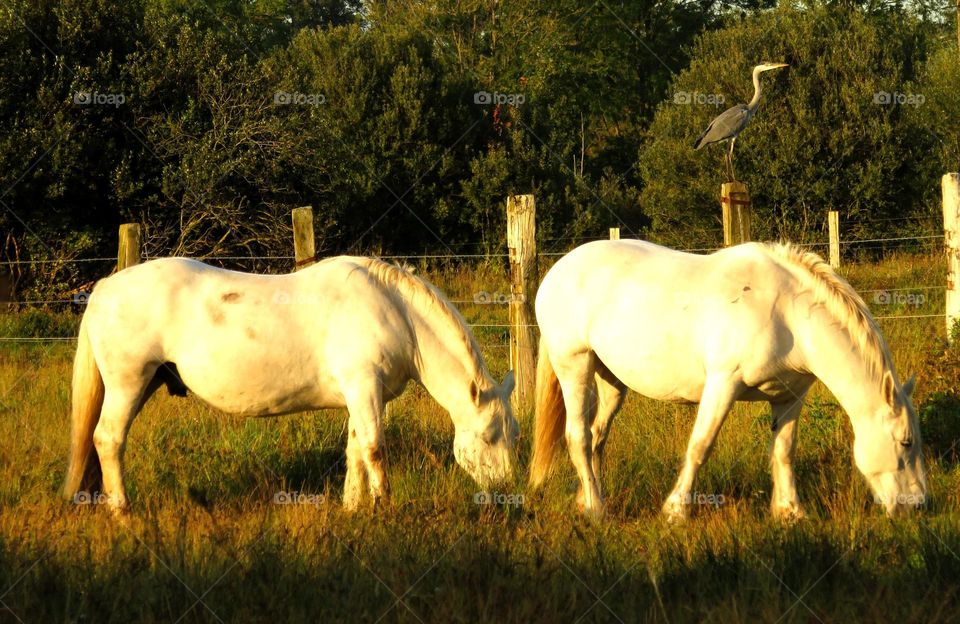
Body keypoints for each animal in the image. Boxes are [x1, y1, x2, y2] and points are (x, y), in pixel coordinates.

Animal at [63, 255, 516, 512]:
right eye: (490, 436)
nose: (505, 495)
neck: (394, 310)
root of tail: (103, 288)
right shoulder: (364, 390)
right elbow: (374, 449)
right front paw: (384, 506)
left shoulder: (361, 397)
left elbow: (354, 450)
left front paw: (352, 507)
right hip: (128, 384)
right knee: (107, 440)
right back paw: (122, 511)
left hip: (141, 385)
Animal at [528, 241, 928, 520]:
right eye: (906, 442)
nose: (918, 505)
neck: (786, 313)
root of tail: (556, 271)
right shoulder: (723, 384)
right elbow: (700, 446)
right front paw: (676, 511)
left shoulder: (789, 397)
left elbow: (784, 450)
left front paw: (790, 512)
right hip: (574, 366)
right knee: (578, 437)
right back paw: (597, 510)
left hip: (611, 382)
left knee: (597, 436)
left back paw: (587, 499)